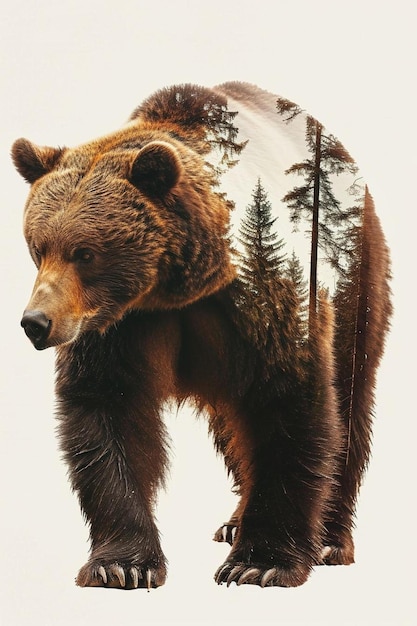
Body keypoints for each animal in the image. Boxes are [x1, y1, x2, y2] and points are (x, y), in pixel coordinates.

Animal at [12, 85, 390, 588]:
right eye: (38, 248)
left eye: (85, 252)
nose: (36, 322)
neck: (178, 289)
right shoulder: (121, 327)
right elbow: (109, 414)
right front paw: (122, 563)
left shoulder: (263, 297)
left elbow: (292, 402)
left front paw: (260, 561)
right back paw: (233, 521)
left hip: (356, 276)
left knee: (349, 399)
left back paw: (328, 538)